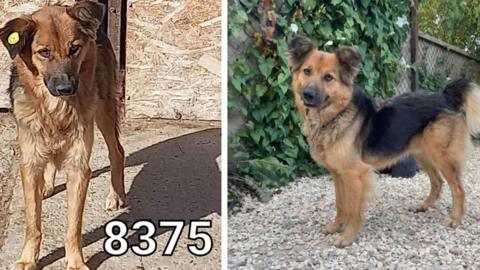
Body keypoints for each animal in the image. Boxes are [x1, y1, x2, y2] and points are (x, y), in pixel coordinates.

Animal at [0, 1, 125, 268]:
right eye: (44, 52)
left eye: (74, 49)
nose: (65, 88)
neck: (55, 110)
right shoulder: (30, 163)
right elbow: (33, 223)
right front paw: (28, 258)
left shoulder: (78, 167)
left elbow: (73, 226)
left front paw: (76, 261)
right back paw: (46, 185)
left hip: (103, 110)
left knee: (117, 152)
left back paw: (116, 195)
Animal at [286, 35, 480, 247]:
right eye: (307, 71)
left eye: (329, 77)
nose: (308, 94)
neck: (336, 115)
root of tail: (447, 96)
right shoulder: (338, 174)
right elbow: (340, 204)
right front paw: (336, 226)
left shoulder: (355, 174)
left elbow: (352, 209)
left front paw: (347, 236)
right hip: (423, 154)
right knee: (437, 182)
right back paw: (424, 206)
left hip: (442, 156)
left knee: (458, 189)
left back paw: (455, 218)